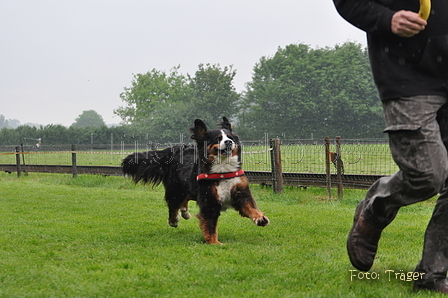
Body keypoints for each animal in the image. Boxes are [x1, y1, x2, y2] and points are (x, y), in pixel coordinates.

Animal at [121, 117, 270, 244]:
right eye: (218, 139)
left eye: (230, 137)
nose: (229, 142)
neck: (223, 171)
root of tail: (174, 149)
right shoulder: (209, 200)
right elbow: (210, 225)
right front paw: (214, 242)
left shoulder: (240, 192)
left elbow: (250, 207)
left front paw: (260, 218)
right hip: (176, 190)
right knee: (173, 207)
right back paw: (175, 219)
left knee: (184, 199)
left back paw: (184, 212)